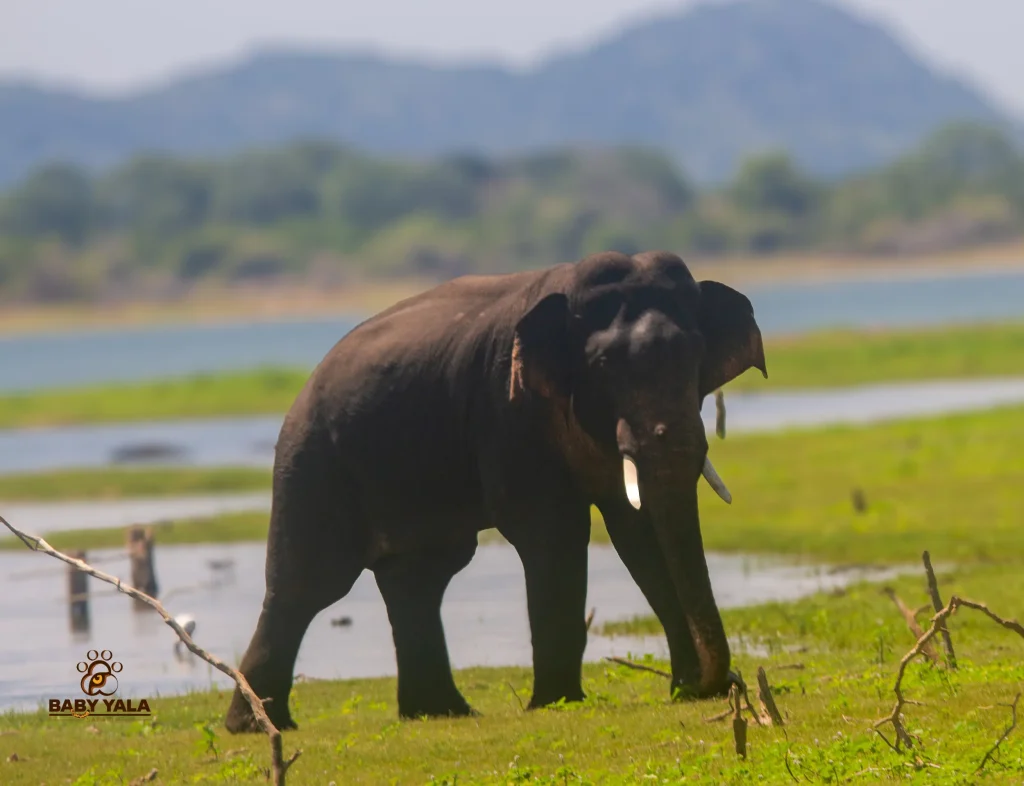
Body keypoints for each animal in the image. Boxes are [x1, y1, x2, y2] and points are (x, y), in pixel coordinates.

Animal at [224, 249, 766, 732]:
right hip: (311, 460)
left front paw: (687, 690)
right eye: (604, 364)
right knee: (310, 584)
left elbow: (637, 529)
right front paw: (556, 704)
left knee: (420, 577)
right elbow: (553, 531)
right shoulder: (509, 412)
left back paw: (440, 713)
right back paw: (257, 725)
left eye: (697, 355)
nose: (717, 684)